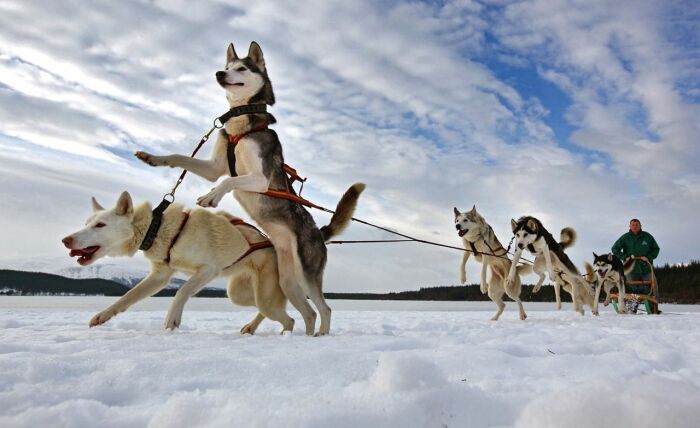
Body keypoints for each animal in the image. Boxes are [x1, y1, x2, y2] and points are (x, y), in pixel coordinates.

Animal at [58, 191, 292, 334]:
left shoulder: (208, 269)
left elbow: (181, 291)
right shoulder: (160, 277)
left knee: (287, 318)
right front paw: (103, 315)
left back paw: (285, 333)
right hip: (239, 294)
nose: (65, 240)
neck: (159, 229)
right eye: (86, 223)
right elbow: (127, 297)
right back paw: (251, 327)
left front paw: (172, 320)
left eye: (100, 225)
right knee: (268, 310)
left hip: (262, 295)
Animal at [135, 41, 366, 334]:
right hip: (288, 281)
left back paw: (321, 337)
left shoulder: (260, 178)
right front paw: (152, 158)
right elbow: (180, 158)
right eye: (228, 66)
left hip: (306, 274)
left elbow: (229, 181)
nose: (219, 73)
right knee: (309, 313)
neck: (240, 127)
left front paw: (211, 197)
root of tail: (319, 232)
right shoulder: (214, 168)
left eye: (242, 68)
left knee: (325, 309)